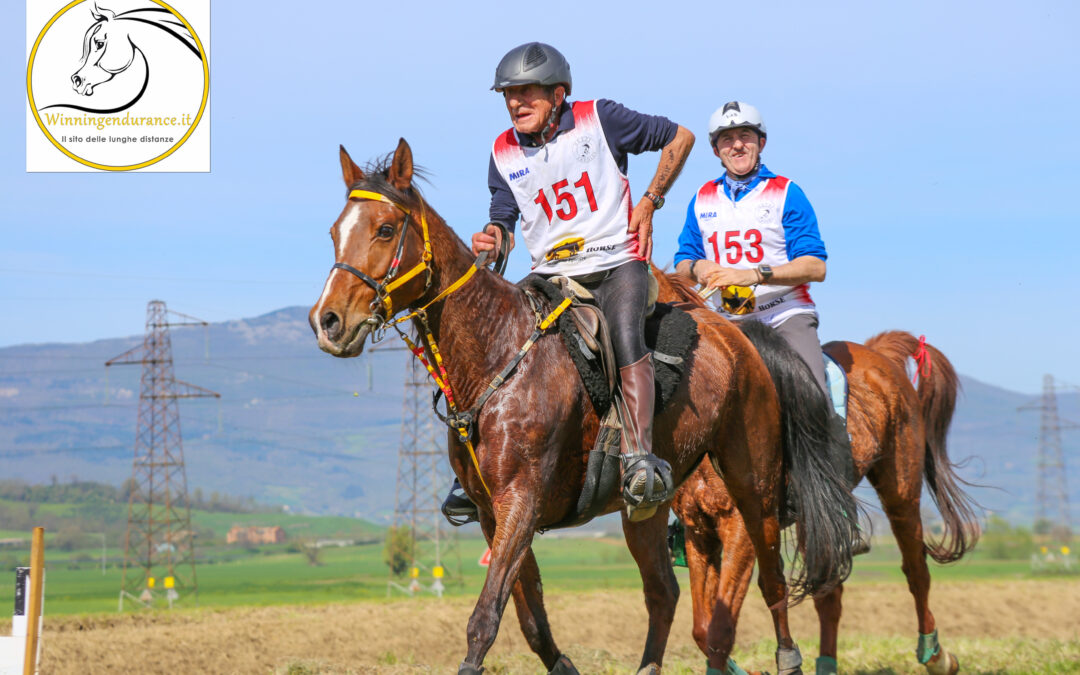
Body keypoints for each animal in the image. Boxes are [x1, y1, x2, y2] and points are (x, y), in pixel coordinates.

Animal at [308, 139, 855, 669]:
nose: (327, 321)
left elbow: (485, 619)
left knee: (772, 578)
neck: (497, 355)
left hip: (752, 481)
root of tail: (738, 336)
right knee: (663, 593)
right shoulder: (491, 514)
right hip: (648, 506)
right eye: (335, 232)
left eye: (384, 230)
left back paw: (789, 657)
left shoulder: (521, 504)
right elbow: (530, 619)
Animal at [673, 328, 980, 673]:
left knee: (916, 571)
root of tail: (878, 353)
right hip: (817, 522)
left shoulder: (741, 528)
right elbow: (703, 627)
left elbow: (722, 626)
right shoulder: (699, 530)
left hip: (901, 494)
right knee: (829, 593)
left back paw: (936, 656)